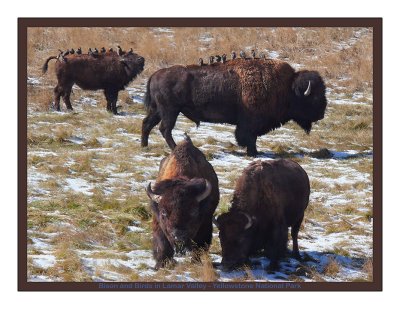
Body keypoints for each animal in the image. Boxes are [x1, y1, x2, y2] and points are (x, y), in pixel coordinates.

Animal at [142, 57, 326, 155]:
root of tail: (155, 75)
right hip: (170, 111)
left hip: (158, 110)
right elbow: (248, 137)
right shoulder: (249, 123)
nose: (322, 114)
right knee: (165, 129)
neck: (287, 87)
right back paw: (174, 149)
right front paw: (253, 153)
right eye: (315, 97)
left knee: (147, 124)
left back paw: (144, 146)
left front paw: (254, 152)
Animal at [145, 134, 219, 268]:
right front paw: (161, 265)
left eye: (194, 212)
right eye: (163, 212)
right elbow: (162, 245)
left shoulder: (205, 223)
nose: (179, 237)